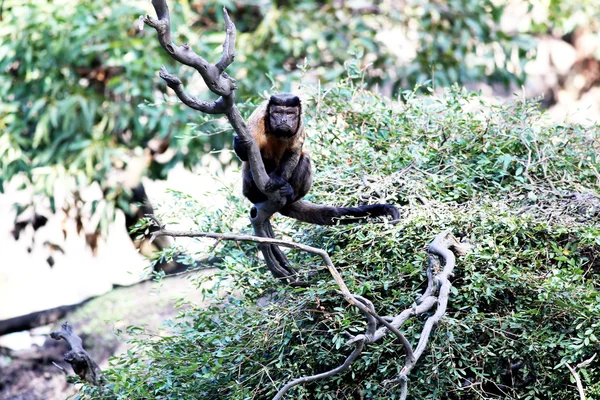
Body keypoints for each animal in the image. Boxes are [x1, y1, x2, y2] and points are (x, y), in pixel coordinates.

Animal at [233, 93, 398, 225]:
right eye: (278, 112)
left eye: (290, 113)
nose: (284, 120)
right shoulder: (257, 118)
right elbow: (247, 153)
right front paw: (240, 144)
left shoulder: (300, 124)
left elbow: (294, 152)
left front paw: (277, 180)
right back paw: (256, 193)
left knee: (305, 158)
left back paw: (289, 193)